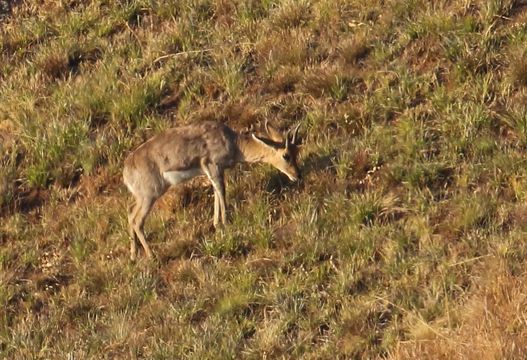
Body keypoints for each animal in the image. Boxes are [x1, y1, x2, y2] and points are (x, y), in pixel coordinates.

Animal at [120, 121, 302, 262]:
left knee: (130, 212)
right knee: (137, 220)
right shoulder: (213, 166)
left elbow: (216, 192)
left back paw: (133, 256)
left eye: (297, 151)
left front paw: (217, 224)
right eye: (286, 155)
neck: (233, 143)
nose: (297, 176)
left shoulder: (214, 171)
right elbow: (222, 191)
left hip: (143, 196)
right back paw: (152, 256)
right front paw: (226, 223)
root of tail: (126, 171)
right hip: (149, 196)